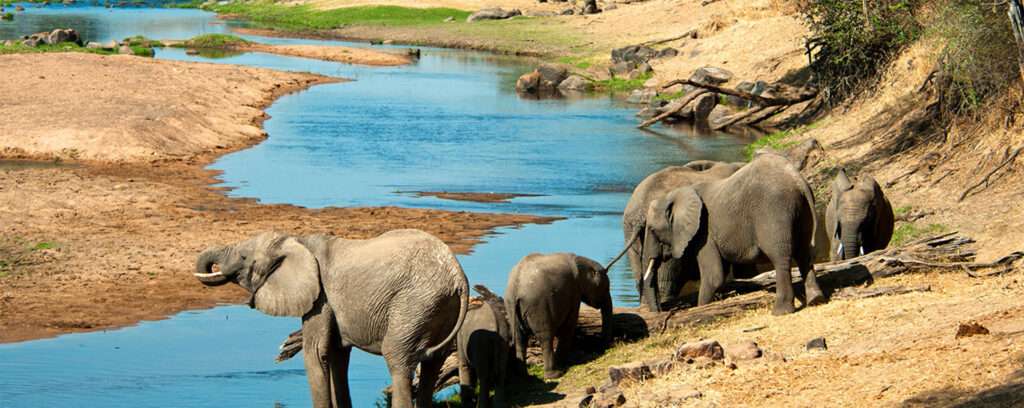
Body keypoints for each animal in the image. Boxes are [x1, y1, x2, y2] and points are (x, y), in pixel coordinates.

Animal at [192, 229, 468, 408]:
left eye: (243, 258)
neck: (297, 241)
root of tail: (458, 277)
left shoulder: (320, 296)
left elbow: (316, 352)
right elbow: (336, 354)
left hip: (414, 303)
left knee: (397, 359)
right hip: (438, 309)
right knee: (432, 364)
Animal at [643, 152, 827, 315]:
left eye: (652, 229)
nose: (661, 312)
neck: (677, 194)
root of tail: (797, 179)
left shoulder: (704, 232)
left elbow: (714, 276)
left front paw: (701, 307)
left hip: (774, 210)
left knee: (780, 256)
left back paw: (780, 312)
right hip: (802, 210)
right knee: (804, 253)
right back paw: (816, 300)